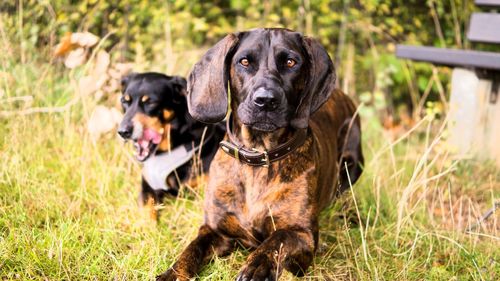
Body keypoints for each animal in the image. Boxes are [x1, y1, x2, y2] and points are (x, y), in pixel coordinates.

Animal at [156, 27, 364, 278]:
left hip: (353, 163)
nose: (265, 101)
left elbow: (276, 241)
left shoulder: (302, 233)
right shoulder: (214, 229)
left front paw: (257, 267)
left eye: (291, 62)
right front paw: (172, 273)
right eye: (244, 61)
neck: (257, 157)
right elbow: (190, 250)